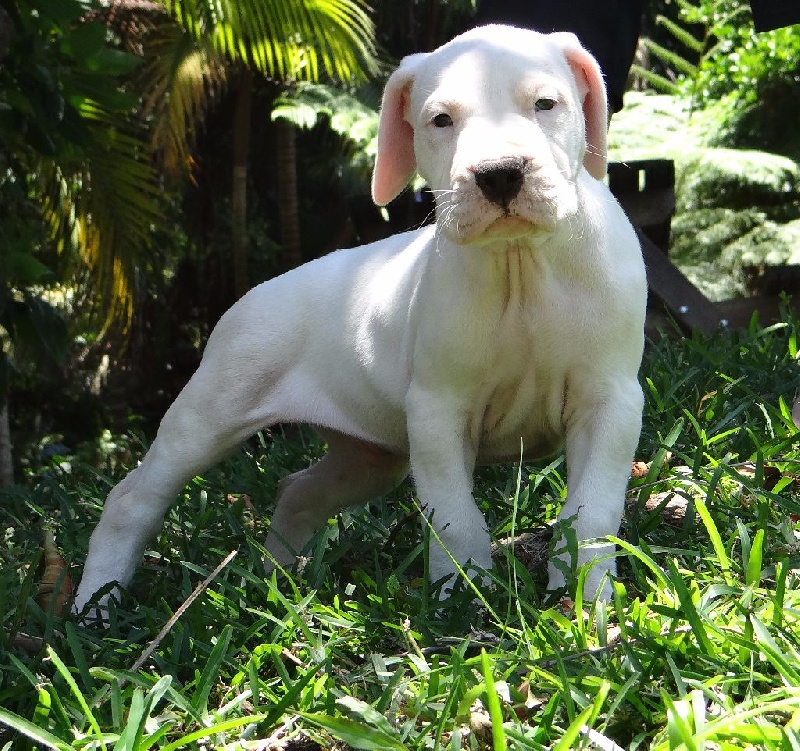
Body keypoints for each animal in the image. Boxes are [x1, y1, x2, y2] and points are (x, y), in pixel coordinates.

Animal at [73, 24, 647, 613]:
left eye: (545, 104)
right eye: (441, 120)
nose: (499, 175)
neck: (521, 265)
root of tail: (250, 297)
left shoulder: (610, 404)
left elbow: (590, 514)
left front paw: (587, 600)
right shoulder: (438, 411)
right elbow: (456, 518)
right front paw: (464, 602)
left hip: (368, 457)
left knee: (298, 491)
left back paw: (278, 582)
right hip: (209, 417)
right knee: (132, 500)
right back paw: (96, 607)